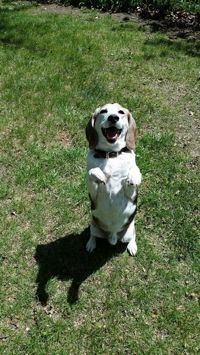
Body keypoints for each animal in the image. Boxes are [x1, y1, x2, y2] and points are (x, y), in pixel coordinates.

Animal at [85, 103, 141, 256]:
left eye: (121, 112)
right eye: (103, 111)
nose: (113, 117)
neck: (111, 155)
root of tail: (113, 235)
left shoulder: (131, 195)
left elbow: (134, 171)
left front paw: (135, 175)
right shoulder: (93, 194)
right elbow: (91, 172)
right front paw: (99, 175)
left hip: (130, 229)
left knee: (133, 236)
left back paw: (132, 246)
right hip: (93, 225)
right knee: (93, 235)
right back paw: (90, 244)